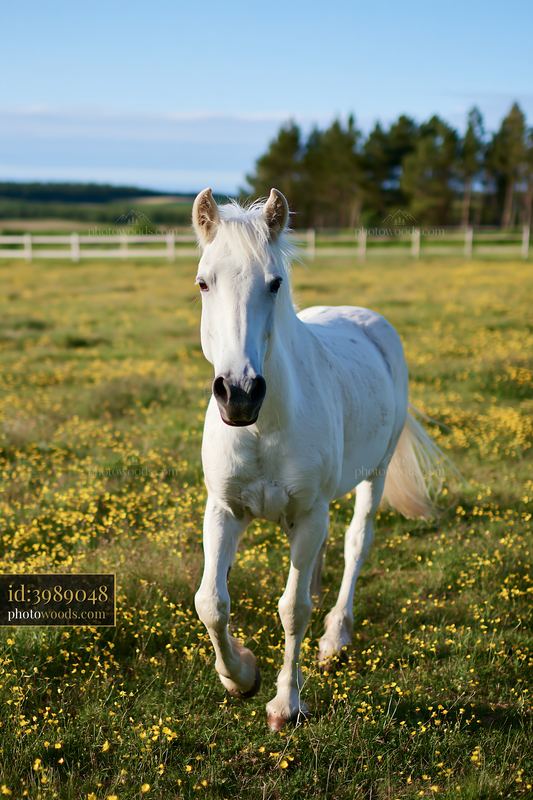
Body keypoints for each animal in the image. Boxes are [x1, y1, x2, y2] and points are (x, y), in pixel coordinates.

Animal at [192, 187, 442, 731]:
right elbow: (212, 602)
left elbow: (293, 610)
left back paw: (335, 639)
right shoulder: (223, 509)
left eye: (275, 283)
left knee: (355, 544)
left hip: (374, 475)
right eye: (203, 282)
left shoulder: (308, 513)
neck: (263, 426)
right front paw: (240, 676)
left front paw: (285, 705)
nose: (239, 394)